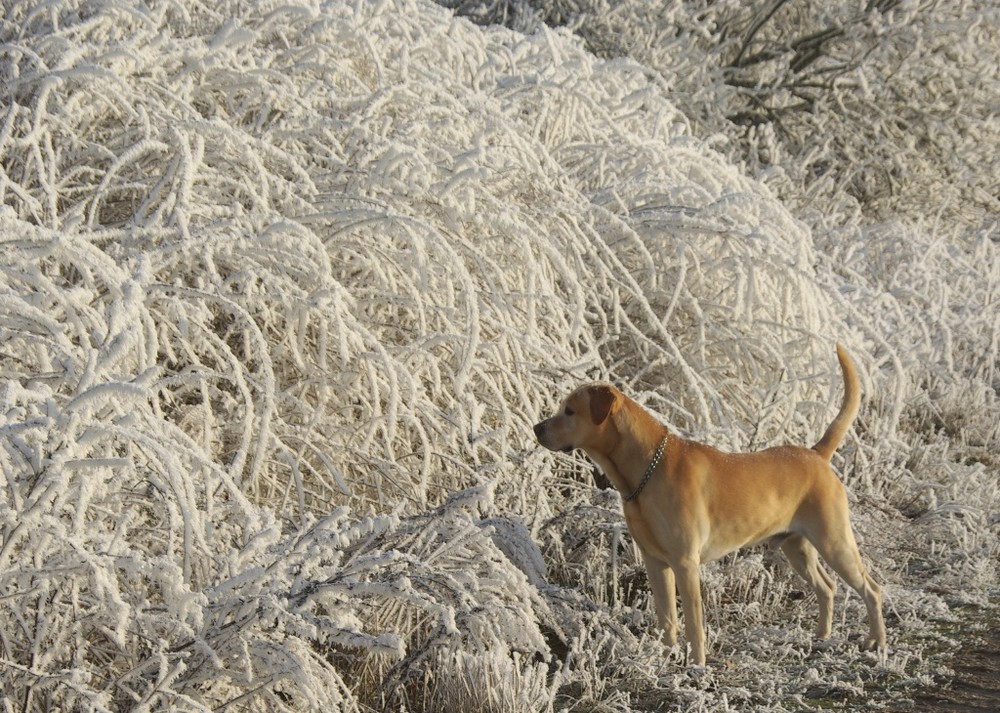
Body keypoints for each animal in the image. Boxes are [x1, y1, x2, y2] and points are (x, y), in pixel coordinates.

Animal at [536, 346, 888, 668]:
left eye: (569, 411)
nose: (537, 428)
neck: (645, 469)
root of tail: (816, 454)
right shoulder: (655, 563)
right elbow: (667, 619)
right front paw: (664, 658)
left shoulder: (685, 563)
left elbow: (693, 624)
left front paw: (697, 665)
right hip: (796, 547)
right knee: (827, 587)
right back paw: (822, 638)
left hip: (834, 542)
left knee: (872, 589)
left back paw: (875, 642)